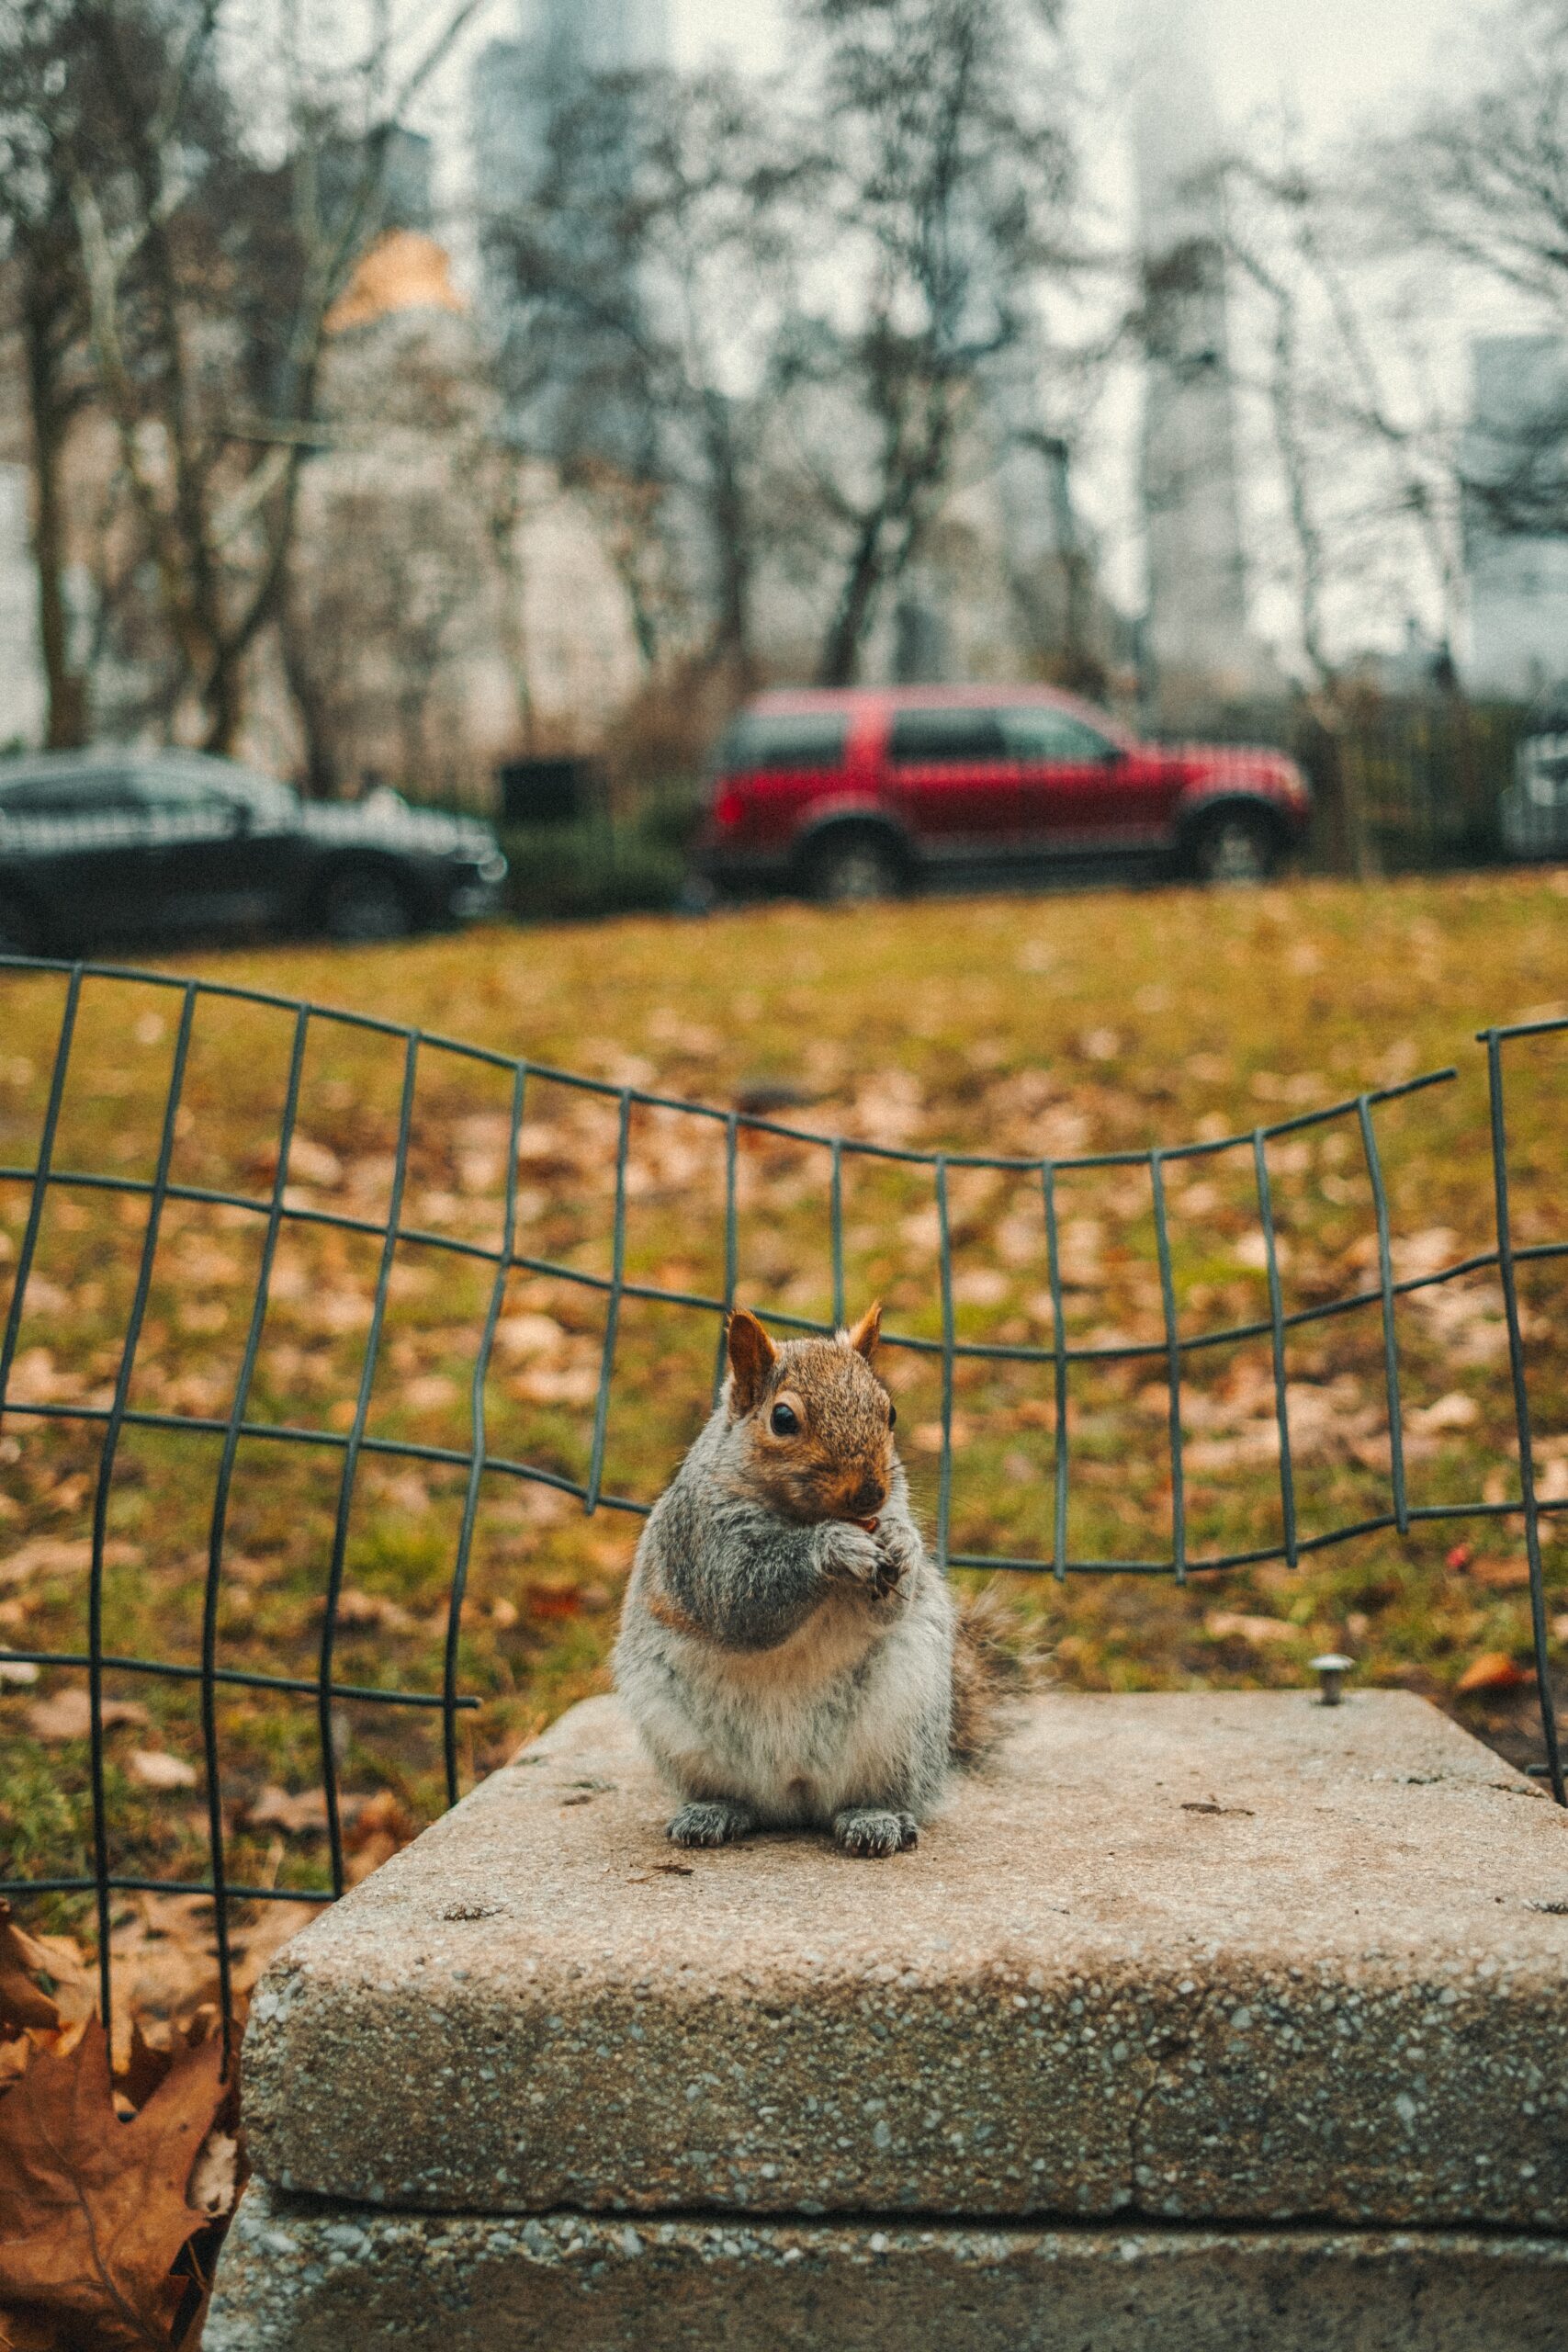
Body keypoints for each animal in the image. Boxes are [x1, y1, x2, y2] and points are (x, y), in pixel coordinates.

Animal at [613, 1302, 1017, 1859]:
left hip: (901, 1728)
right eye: (783, 1418)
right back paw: (711, 1812)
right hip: (678, 1736)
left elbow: (890, 1603)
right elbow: (742, 1601)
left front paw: (905, 1542)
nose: (870, 1494)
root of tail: (795, 1791)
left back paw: (874, 1819)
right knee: (735, 1798)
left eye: (890, 1412)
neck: (801, 1517)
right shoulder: (699, 1542)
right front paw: (834, 1547)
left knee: (872, 1795)